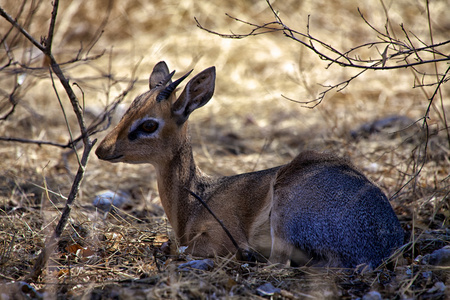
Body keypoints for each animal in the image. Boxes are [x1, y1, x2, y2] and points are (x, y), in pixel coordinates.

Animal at [96, 61, 404, 268]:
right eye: (128, 110)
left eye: (149, 124)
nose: (102, 149)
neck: (193, 201)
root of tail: (386, 242)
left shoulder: (219, 237)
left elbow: (177, 249)